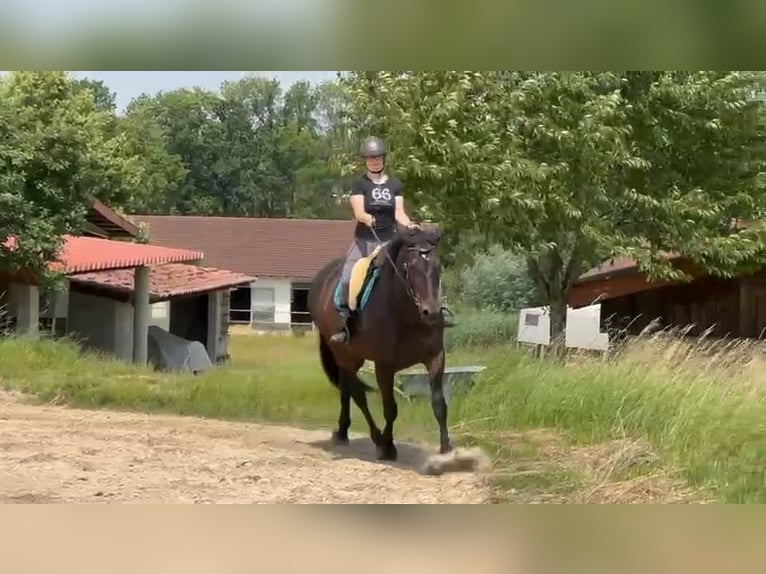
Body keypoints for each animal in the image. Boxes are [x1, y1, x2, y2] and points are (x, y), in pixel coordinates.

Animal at [306, 225, 450, 464]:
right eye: (410, 268)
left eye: (438, 266)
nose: (431, 312)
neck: (405, 314)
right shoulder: (384, 365)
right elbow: (390, 408)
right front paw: (388, 447)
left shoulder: (435, 357)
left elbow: (439, 403)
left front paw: (447, 448)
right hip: (343, 354)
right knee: (358, 396)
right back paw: (375, 438)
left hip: (353, 357)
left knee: (346, 389)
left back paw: (342, 432)